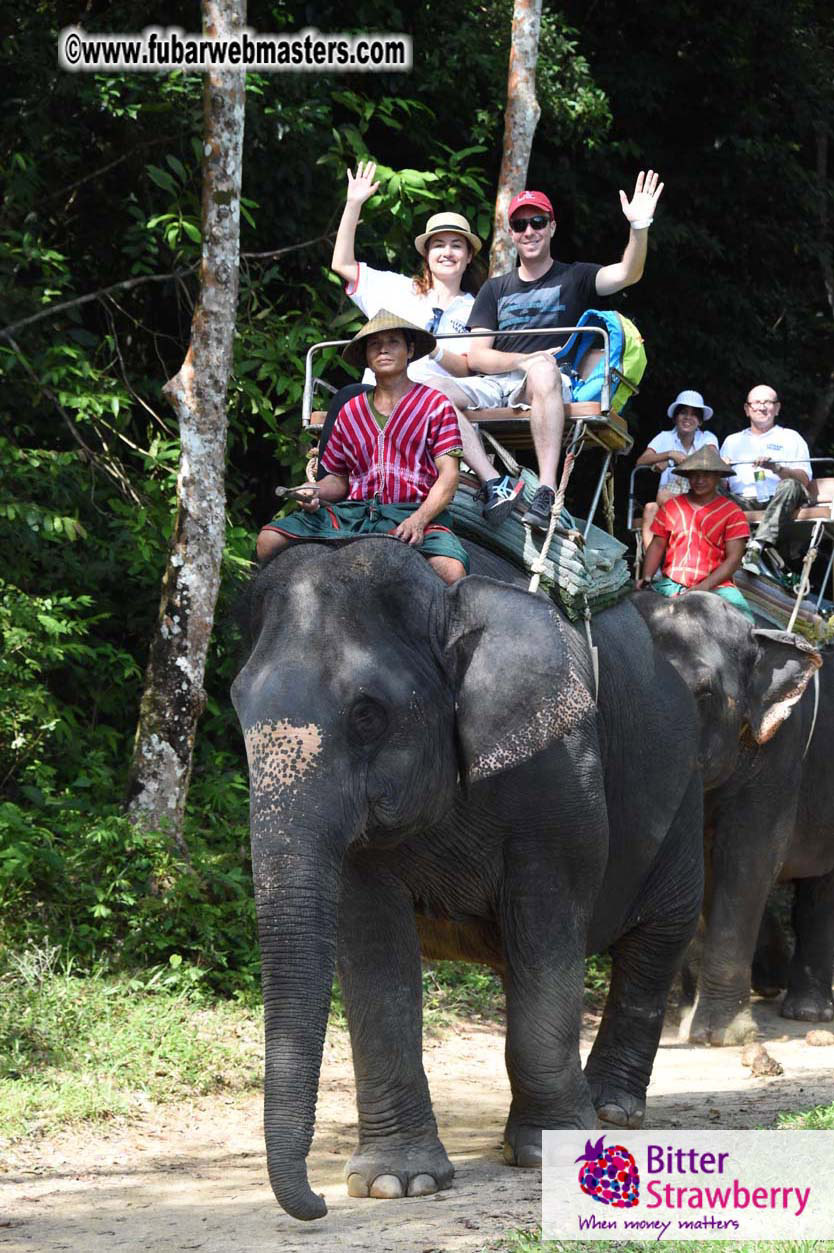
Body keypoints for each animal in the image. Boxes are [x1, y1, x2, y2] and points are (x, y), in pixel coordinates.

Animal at [232, 536, 705, 1221]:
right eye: (238, 707)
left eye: (367, 715)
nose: (317, 1203)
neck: (442, 602)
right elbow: (372, 944)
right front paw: (394, 1183)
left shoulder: (562, 766)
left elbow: (549, 911)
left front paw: (549, 1150)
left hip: (685, 786)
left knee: (658, 938)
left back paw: (612, 1112)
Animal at [632, 589, 825, 1044]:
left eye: (703, 694)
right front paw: (687, 1022)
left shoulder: (779, 751)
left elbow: (748, 859)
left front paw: (720, 1037)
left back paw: (807, 1012)